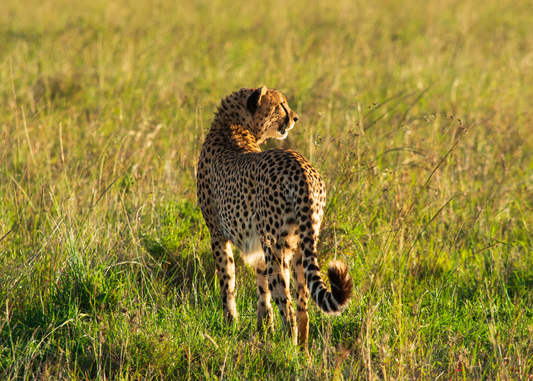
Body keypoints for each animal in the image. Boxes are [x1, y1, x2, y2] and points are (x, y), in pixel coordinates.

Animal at [197, 86, 352, 348]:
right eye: (281, 104)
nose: (295, 118)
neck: (234, 126)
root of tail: (300, 165)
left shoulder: (218, 234)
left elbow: (227, 282)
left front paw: (230, 325)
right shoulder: (256, 243)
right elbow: (262, 290)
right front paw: (263, 328)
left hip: (276, 247)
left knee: (287, 305)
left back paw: (287, 349)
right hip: (302, 245)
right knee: (302, 306)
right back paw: (302, 350)